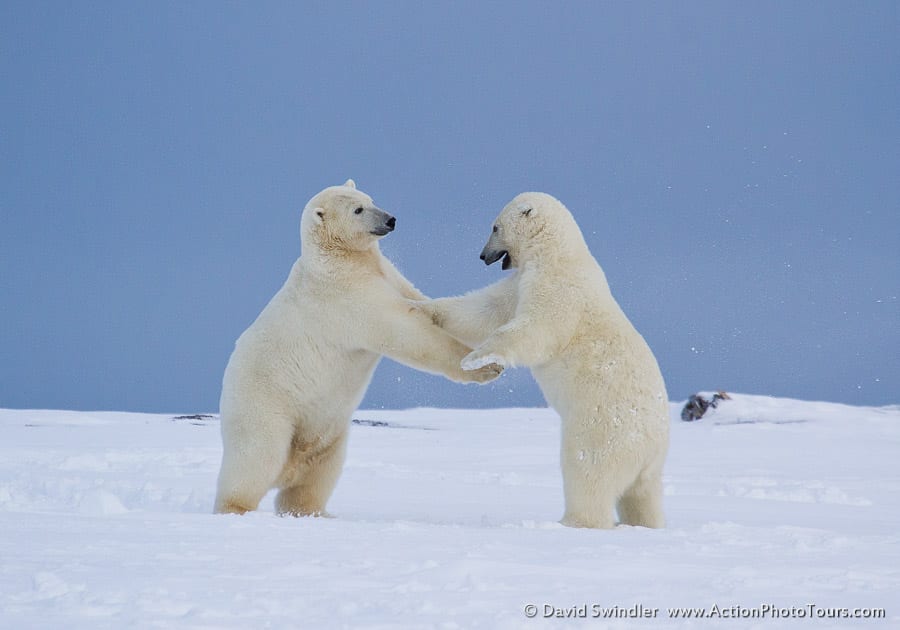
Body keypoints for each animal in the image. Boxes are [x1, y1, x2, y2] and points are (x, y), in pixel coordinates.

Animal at [214, 180, 502, 516]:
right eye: (358, 210)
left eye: (370, 199)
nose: (390, 220)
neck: (338, 261)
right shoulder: (346, 296)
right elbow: (407, 333)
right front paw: (486, 367)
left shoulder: (383, 272)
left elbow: (418, 301)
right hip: (264, 405)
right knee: (257, 457)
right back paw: (236, 508)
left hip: (330, 435)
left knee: (318, 473)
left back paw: (316, 512)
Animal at [420, 193, 668, 528]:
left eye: (495, 227)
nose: (483, 256)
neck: (557, 253)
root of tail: (654, 444)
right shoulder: (521, 283)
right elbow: (487, 308)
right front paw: (424, 307)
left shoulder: (558, 288)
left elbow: (535, 330)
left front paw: (474, 358)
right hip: (648, 465)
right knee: (643, 496)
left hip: (604, 429)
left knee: (588, 471)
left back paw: (574, 521)